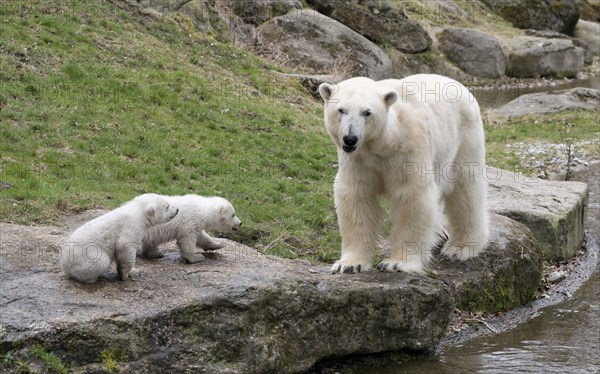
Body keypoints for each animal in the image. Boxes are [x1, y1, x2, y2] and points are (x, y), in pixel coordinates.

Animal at [318, 74, 488, 274]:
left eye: (367, 112)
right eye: (341, 110)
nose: (350, 139)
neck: (383, 144)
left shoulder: (408, 150)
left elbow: (412, 197)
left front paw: (397, 263)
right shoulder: (358, 160)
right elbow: (357, 197)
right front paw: (349, 264)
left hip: (464, 136)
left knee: (465, 189)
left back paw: (461, 248)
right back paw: (439, 233)